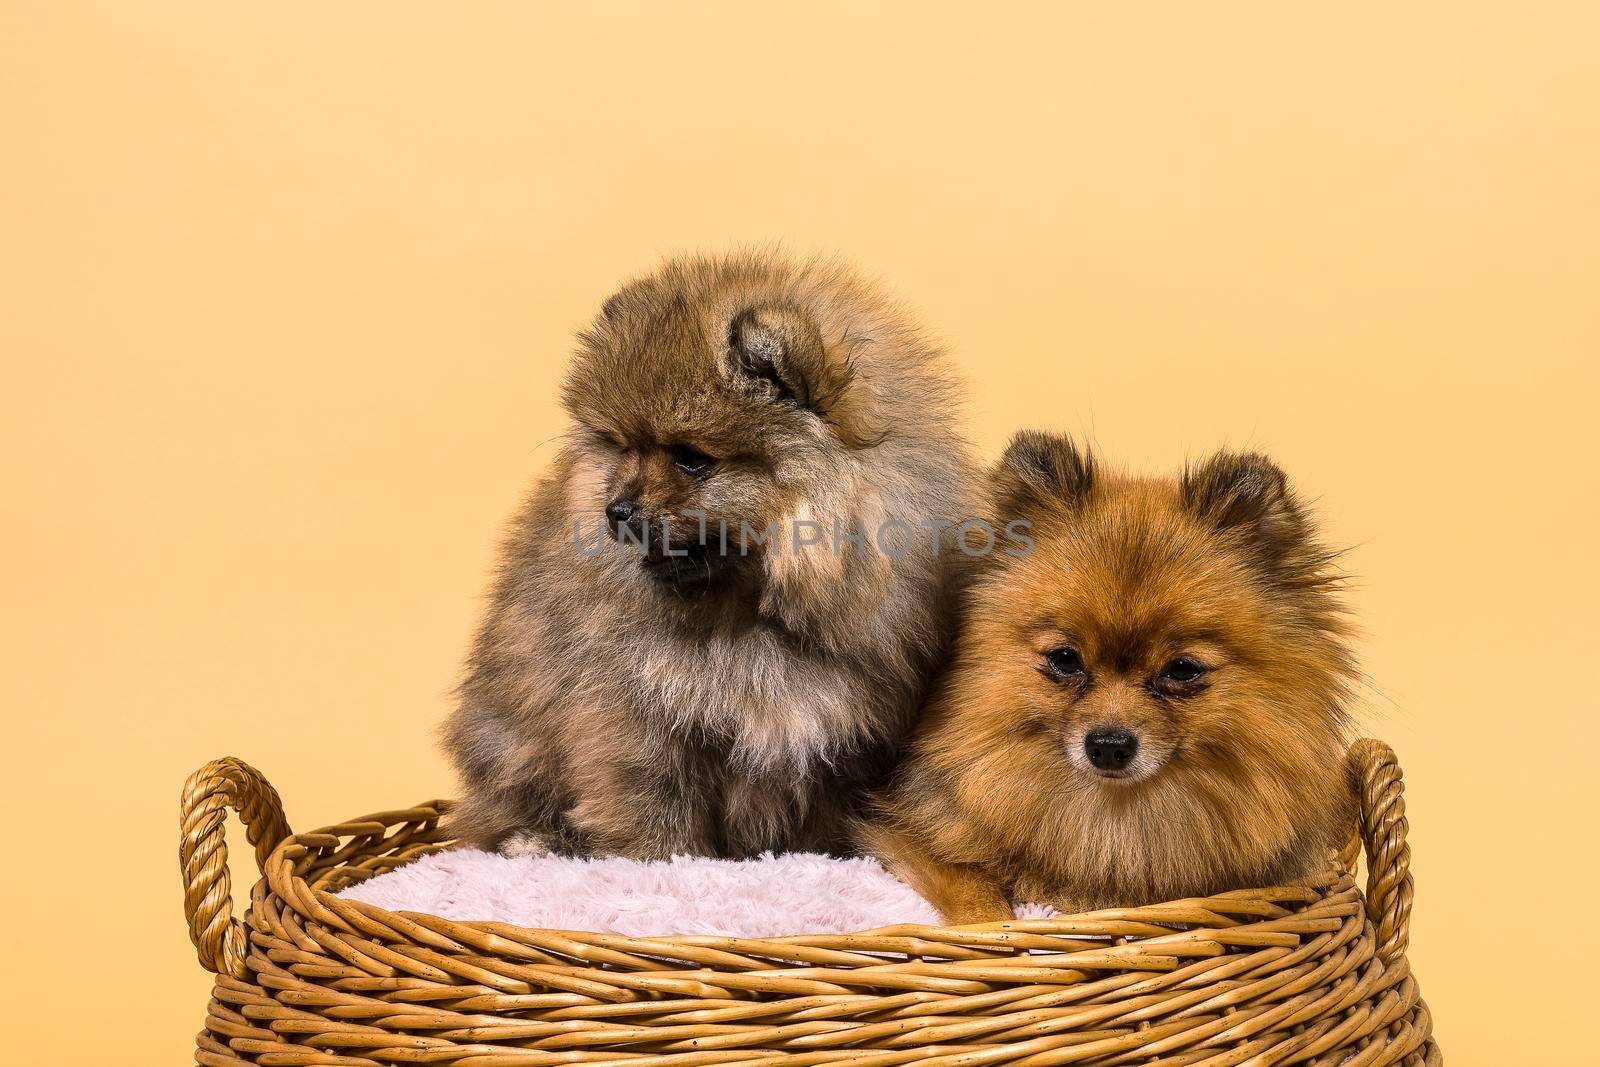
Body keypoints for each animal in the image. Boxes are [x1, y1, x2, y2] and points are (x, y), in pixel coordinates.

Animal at [444, 251, 979, 857]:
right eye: (623, 448)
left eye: (691, 459)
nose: (616, 509)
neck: (748, 616)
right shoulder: (636, 720)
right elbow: (655, 807)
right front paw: (661, 863)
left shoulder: (846, 731)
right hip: (505, 744)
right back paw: (535, 840)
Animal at [870, 428, 1356, 921]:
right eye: (1065, 659)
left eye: (1183, 670)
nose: (1108, 745)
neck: (1114, 824)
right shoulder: (904, 836)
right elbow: (974, 891)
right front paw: (987, 923)